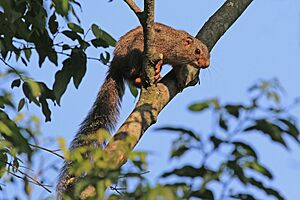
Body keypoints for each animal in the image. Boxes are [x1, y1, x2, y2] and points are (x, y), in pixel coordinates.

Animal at [56, 22, 211, 198]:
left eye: (207, 53)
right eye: (197, 51)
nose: (206, 64)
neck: (174, 43)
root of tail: (115, 66)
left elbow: (178, 69)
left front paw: (180, 79)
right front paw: (161, 63)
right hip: (133, 55)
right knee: (130, 73)